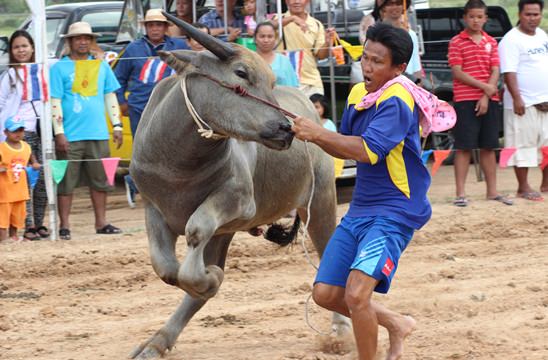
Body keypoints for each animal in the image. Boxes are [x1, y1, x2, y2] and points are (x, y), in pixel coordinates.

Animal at [130, 13, 346, 358]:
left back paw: (341, 331)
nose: (285, 128)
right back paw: (156, 343)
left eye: (270, 81)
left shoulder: (239, 202)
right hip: (226, 232)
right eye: (241, 73)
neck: (179, 163)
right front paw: (207, 279)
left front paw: (211, 277)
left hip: (321, 200)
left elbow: (194, 236)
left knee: (329, 255)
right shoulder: (154, 207)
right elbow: (167, 269)